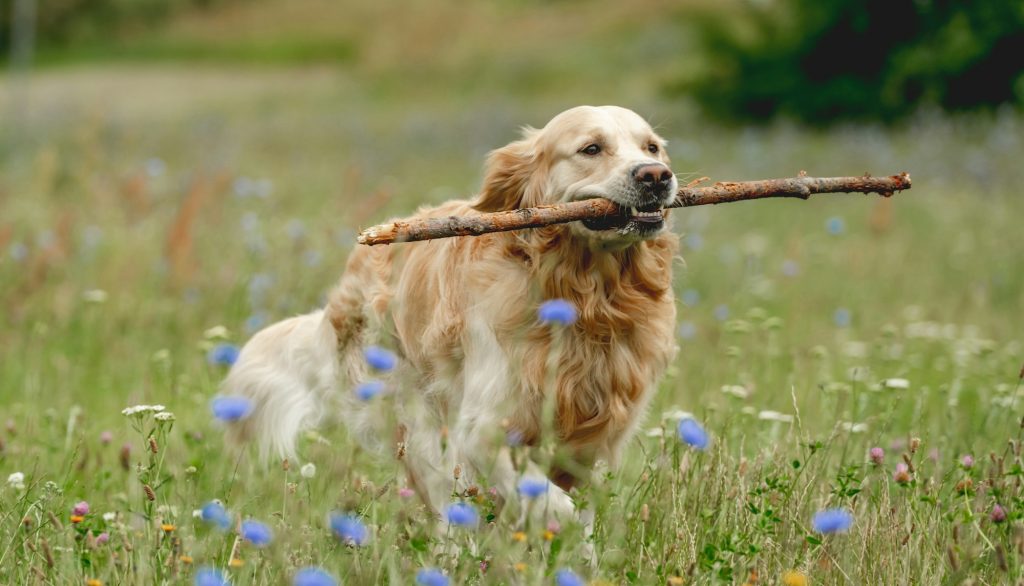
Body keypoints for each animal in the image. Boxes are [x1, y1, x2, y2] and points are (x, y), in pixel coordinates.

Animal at [222, 105, 679, 524]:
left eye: (652, 147)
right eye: (591, 148)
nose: (656, 176)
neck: (586, 299)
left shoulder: (589, 443)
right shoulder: (482, 429)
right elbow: (556, 507)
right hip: (419, 419)